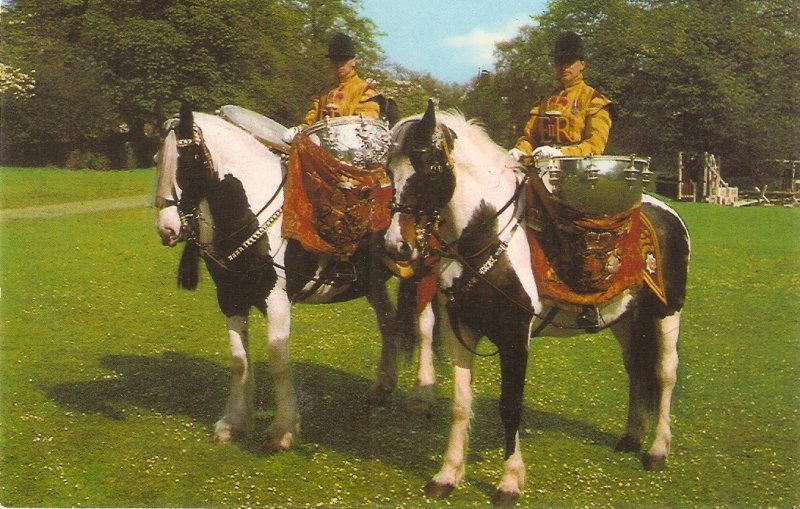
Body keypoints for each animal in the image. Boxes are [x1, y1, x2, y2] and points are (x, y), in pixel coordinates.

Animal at [153, 103, 434, 448]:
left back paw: (422, 397)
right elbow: (238, 361)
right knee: (388, 323)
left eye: (188, 161)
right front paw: (233, 423)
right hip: (373, 284)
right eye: (156, 160)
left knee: (425, 327)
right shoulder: (230, 299)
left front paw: (282, 430)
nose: (167, 229)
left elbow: (277, 360)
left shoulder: (276, 300)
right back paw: (382, 387)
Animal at [384, 102, 692, 504]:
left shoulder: (515, 336)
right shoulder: (459, 330)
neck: (486, 233)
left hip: (667, 312)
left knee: (665, 374)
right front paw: (447, 475)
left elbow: (510, 406)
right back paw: (631, 436)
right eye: (389, 170)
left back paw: (657, 450)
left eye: (430, 168)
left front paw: (509, 482)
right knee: (636, 368)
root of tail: (666, 210)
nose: (397, 246)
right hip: (625, 318)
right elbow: (461, 404)